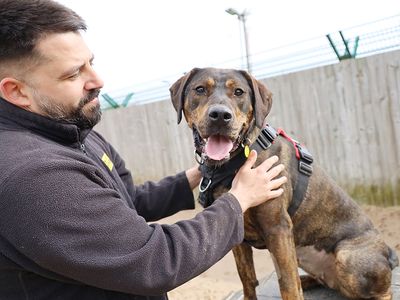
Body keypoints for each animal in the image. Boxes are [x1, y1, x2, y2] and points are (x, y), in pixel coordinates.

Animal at [170, 68, 400, 300]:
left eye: (239, 92)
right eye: (200, 89)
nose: (220, 115)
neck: (232, 163)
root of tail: (389, 253)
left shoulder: (277, 228)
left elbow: (288, 284)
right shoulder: (235, 232)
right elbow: (247, 280)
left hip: (347, 258)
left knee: (382, 291)